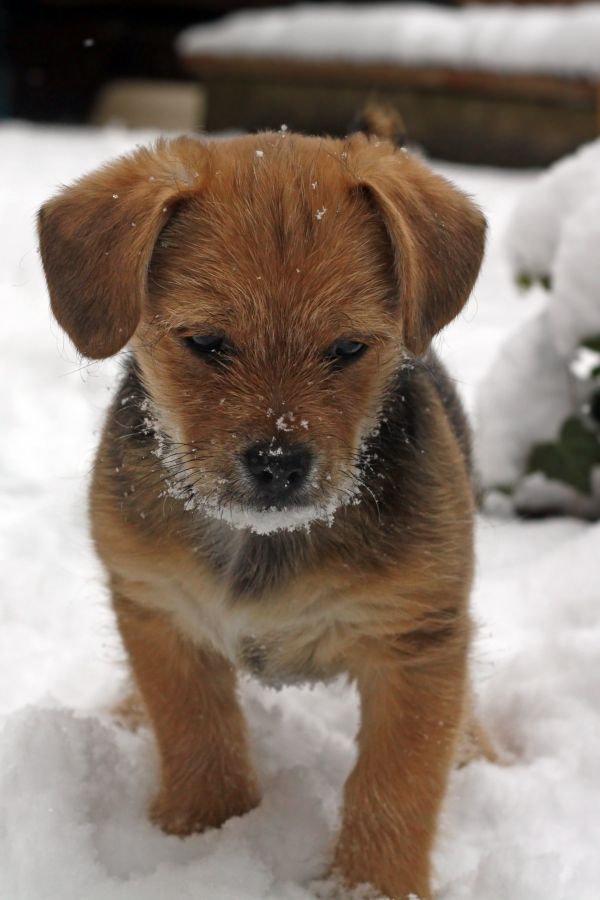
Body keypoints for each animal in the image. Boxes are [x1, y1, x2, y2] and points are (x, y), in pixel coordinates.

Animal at [38, 130, 488, 896]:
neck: (262, 542)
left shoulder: (417, 640)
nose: (279, 463)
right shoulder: (160, 612)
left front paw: (373, 883)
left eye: (349, 347)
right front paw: (203, 839)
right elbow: (196, 735)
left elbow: (396, 785)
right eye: (205, 342)